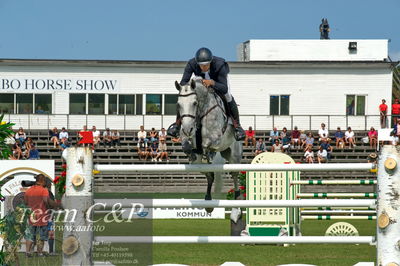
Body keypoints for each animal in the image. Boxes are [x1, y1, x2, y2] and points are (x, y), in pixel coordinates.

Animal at [174, 78, 242, 210]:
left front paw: (207, 153)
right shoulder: (185, 137)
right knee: (209, 175)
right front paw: (191, 152)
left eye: (195, 103)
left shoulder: (216, 138)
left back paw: (237, 197)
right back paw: (208, 200)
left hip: (234, 157)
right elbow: (186, 145)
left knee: (235, 174)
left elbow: (207, 144)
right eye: (178, 105)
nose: (187, 129)